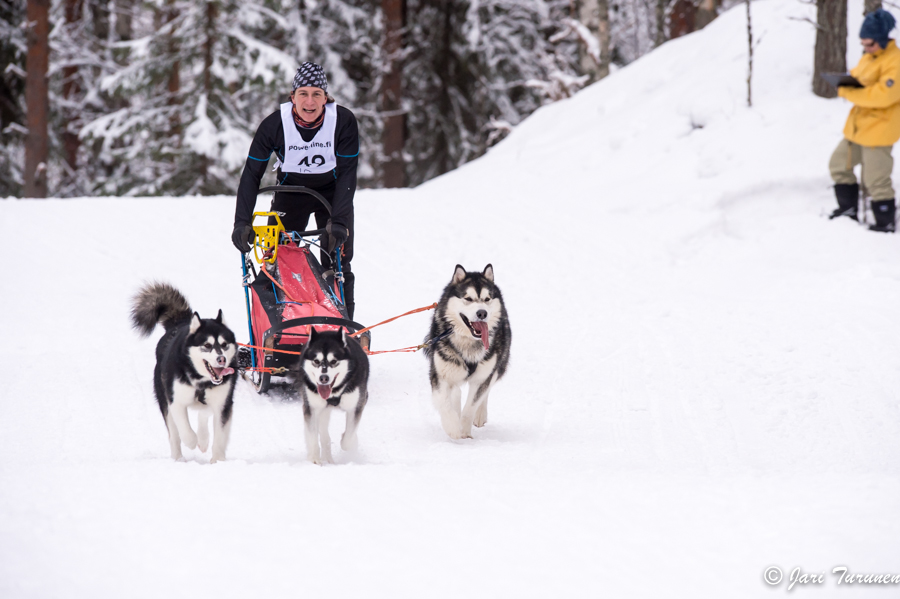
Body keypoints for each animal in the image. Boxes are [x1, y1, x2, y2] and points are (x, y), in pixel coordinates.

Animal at [130, 284, 237, 462]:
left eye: (224, 344)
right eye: (207, 345)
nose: (221, 359)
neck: (201, 381)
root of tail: (180, 323)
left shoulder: (223, 404)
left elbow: (219, 437)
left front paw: (217, 461)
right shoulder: (176, 401)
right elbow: (185, 430)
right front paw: (192, 442)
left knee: (203, 414)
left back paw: (203, 439)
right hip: (164, 399)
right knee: (174, 434)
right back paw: (178, 458)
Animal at [294, 328, 368, 464]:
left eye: (334, 361)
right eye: (316, 361)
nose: (324, 378)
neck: (335, 392)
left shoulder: (356, 406)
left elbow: (348, 439)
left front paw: (351, 441)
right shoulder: (312, 408)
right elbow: (312, 436)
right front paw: (314, 458)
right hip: (322, 410)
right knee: (324, 435)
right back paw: (327, 457)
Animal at [426, 264, 510, 438]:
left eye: (487, 299)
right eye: (468, 298)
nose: (482, 313)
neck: (468, 342)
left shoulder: (483, 377)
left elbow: (471, 406)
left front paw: (464, 431)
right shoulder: (439, 374)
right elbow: (443, 401)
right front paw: (452, 427)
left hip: (499, 364)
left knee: (486, 391)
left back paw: (480, 415)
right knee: (455, 392)